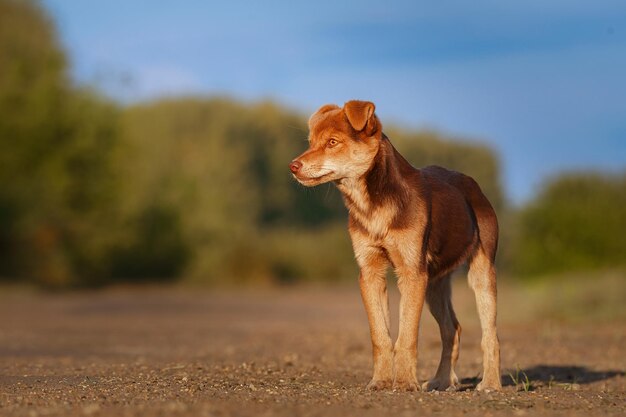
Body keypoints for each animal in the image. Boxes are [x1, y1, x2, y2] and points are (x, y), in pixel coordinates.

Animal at [290, 100, 500, 390]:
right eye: (311, 142)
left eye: (332, 142)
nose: (293, 166)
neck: (371, 204)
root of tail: (474, 186)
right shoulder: (371, 272)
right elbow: (380, 336)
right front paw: (380, 381)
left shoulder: (411, 273)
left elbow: (407, 335)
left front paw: (404, 383)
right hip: (434, 283)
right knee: (452, 329)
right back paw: (440, 380)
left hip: (480, 272)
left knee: (490, 335)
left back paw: (490, 383)